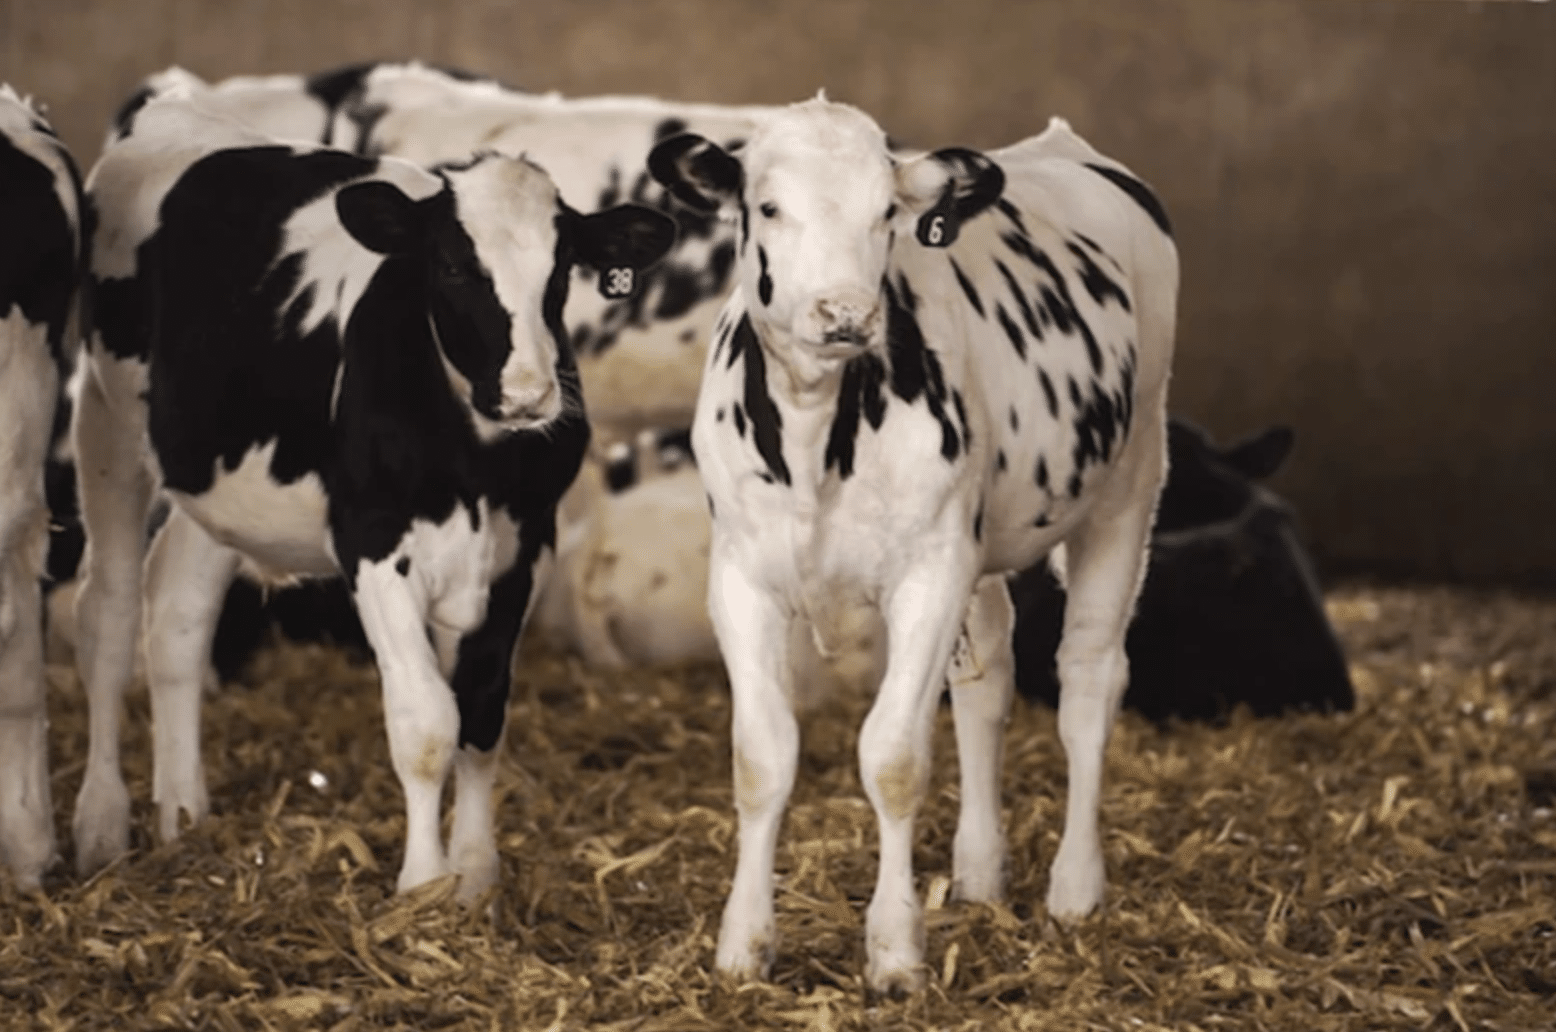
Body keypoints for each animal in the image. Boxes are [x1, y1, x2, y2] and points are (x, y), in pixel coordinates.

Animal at [69, 95, 676, 897]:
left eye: (562, 270)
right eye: (451, 266)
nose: (527, 394)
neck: (475, 461)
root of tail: (175, 114)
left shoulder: (524, 543)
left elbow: (482, 714)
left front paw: (475, 879)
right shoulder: (372, 537)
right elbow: (426, 721)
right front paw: (422, 885)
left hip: (216, 480)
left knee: (178, 613)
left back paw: (183, 815)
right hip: (105, 422)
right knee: (107, 614)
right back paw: (102, 823)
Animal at [648, 99, 1178, 991]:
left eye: (884, 214)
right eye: (768, 207)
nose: (844, 315)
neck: (815, 427)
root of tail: (1064, 144)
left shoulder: (930, 573)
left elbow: (894, 758)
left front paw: (895, 947)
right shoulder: (742, 579)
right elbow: (762, 758)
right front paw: (743, 943)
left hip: (1130, 480)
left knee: (1088, 682)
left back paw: (1075, 887)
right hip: (985, 544)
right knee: (988, 681)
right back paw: (979, 871)